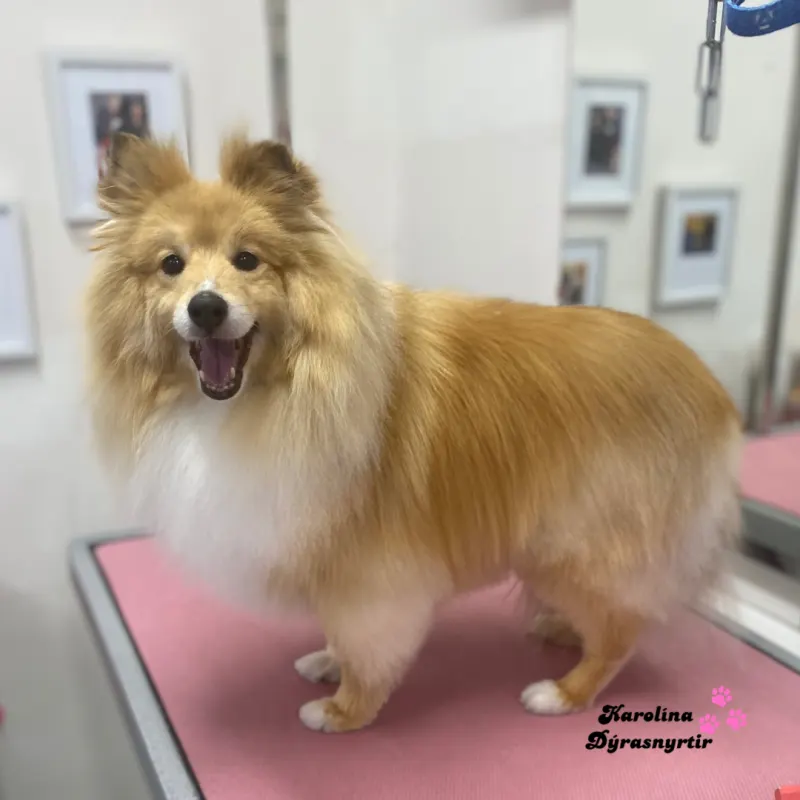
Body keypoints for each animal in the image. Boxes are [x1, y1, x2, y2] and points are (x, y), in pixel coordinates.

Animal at [85, 132, 742, 733]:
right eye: (172, 265)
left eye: (247, 260)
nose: (206, 307)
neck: (270, 394)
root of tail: (710, 390)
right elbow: (338, 632)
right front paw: (327, 661)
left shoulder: (369, 570)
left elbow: (366, 645)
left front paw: (344, 709)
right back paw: (561, 627)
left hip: (576, 538)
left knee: (624, 629)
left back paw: (563, 691)